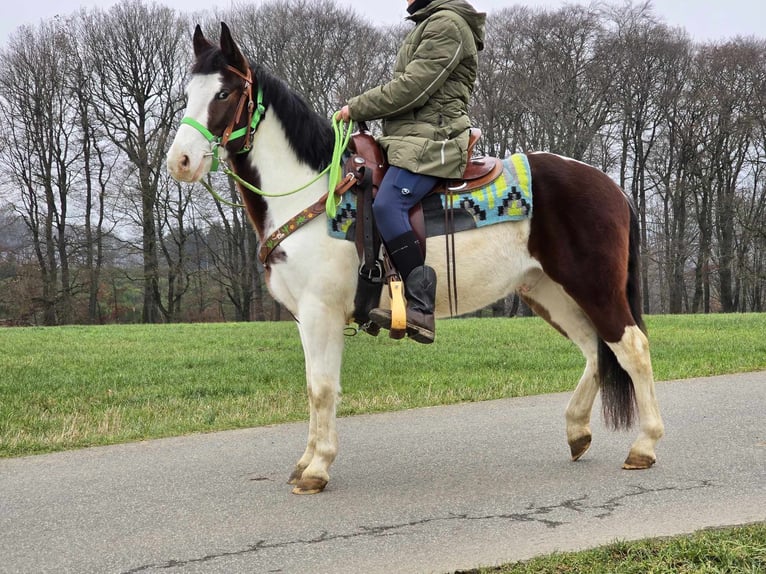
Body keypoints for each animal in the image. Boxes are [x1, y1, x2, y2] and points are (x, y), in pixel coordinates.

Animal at [168, 24, 664, 498]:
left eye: (225, 93)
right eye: (188, 93)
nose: (181, 161)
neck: (318, 194)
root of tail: (610, 185)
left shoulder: (321, 312)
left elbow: (323, 388)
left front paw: (318, 469)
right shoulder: (304, 318)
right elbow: (312, 386)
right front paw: (305, 462)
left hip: (593, 287)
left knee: (631, 348)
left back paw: (644, 446)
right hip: (549, 292)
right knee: (595, 349)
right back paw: (577, 432)